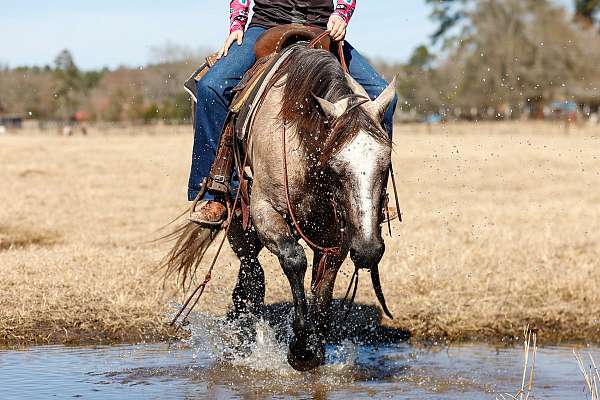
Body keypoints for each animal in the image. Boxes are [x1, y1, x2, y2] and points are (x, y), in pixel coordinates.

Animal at [164, 46, 398, 372]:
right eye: (335, 167)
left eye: (385, 164)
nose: (367, 251)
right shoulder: (265, 212)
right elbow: (294, 260)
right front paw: (300, 348)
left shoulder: (336, 234)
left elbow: (323, 283)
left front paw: (315, 345)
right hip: (237, 219)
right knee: (251, 274)